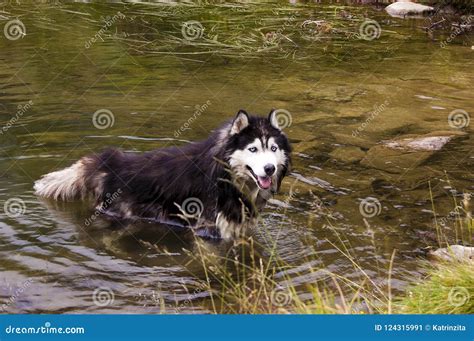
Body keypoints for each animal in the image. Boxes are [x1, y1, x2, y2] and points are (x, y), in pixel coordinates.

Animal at [33, 109, 290, 239]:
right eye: (253, 149)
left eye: (273, 149)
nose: (270, 169)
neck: (225, 175)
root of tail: (110, 160)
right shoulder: (209, 230)